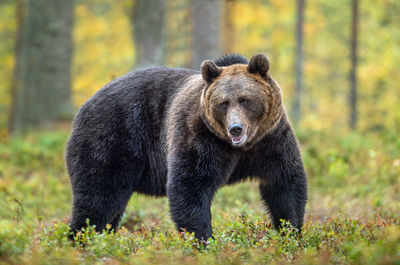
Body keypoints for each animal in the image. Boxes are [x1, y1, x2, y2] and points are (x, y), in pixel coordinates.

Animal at [67, 53, 308, 241]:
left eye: (245, 99)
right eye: (223, 103)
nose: (235, 128)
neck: (240, 148)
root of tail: (84, 105)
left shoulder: (271, 140)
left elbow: (284, 183)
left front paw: (292, 232)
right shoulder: (199, 137)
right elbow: (190, 187)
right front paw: (204, 240)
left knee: (110, 208)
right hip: (113, 138)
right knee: (99, 197)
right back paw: (81, 239)